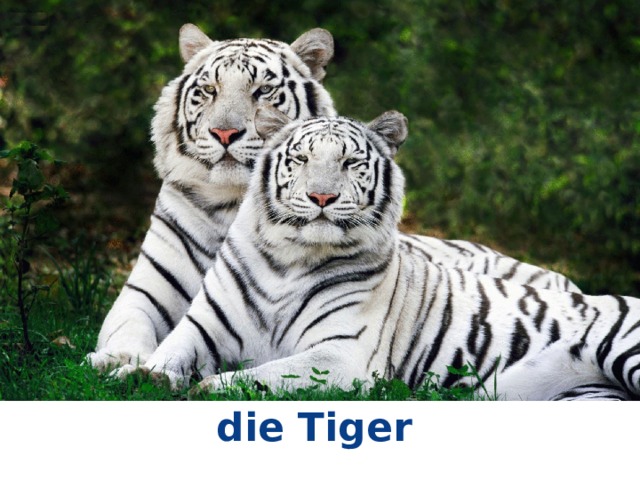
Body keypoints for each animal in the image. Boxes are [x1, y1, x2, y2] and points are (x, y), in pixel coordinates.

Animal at [88, 23, 579, 373]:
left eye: (263, 91)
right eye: (208, 90)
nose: (225, 133)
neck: (233, 204)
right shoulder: (145, 292)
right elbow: (127, 327)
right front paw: (115, 360)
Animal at [114, 108, 639, 400]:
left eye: (350, 162)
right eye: (301, 159)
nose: (322, 197)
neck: (289, 260)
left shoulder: (341, 355)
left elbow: (262, 374)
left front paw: (206, 388)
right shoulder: (202, 327)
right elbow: (167, 354)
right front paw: (134, 375)